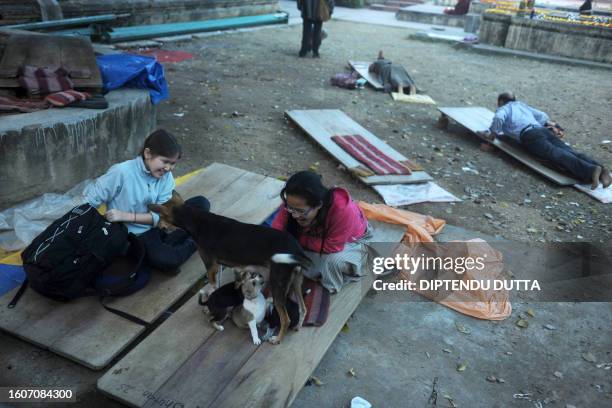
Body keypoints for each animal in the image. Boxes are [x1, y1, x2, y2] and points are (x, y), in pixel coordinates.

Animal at [149, 191, 310, 344]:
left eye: (160, 217)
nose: (159, 228)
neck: (197, 221)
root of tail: (296, 249)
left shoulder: (210, 265)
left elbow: (213, 286)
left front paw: (208, 306)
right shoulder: (218, 266)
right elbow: (217, 286)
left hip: (277, 284)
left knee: (286, 319)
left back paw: (277, 339)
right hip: (296, 281)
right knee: (303, 308)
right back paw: (297, 326)